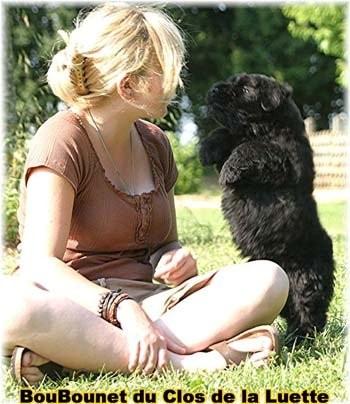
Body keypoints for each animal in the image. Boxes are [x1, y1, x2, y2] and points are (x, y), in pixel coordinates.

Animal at [200, 72, 334, 344]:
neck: (263, 127)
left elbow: (254, 148)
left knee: (310, 312)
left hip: (307, 281)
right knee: (293, 312)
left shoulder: (282, 157)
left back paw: (301, 340)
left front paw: (229, 168)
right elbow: (225, 133)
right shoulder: (238, 137)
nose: (213, 90)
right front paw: (207, 148)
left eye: (244, 89)